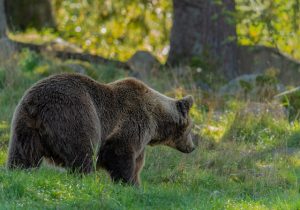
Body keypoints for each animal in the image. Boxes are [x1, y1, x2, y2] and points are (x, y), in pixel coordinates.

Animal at [7, 73, 196, 185]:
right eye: (190, 128)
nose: (192, 147)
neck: (156, 122)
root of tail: (39, 106)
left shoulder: (141, 139)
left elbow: (137, 163)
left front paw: (136, 183)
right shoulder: (132, 124)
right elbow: (121, 155)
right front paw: (128, 184)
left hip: (25, 126)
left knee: (23, 155)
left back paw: (17, 173)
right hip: (78, 115)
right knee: (83, 154)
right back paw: (86, 180)